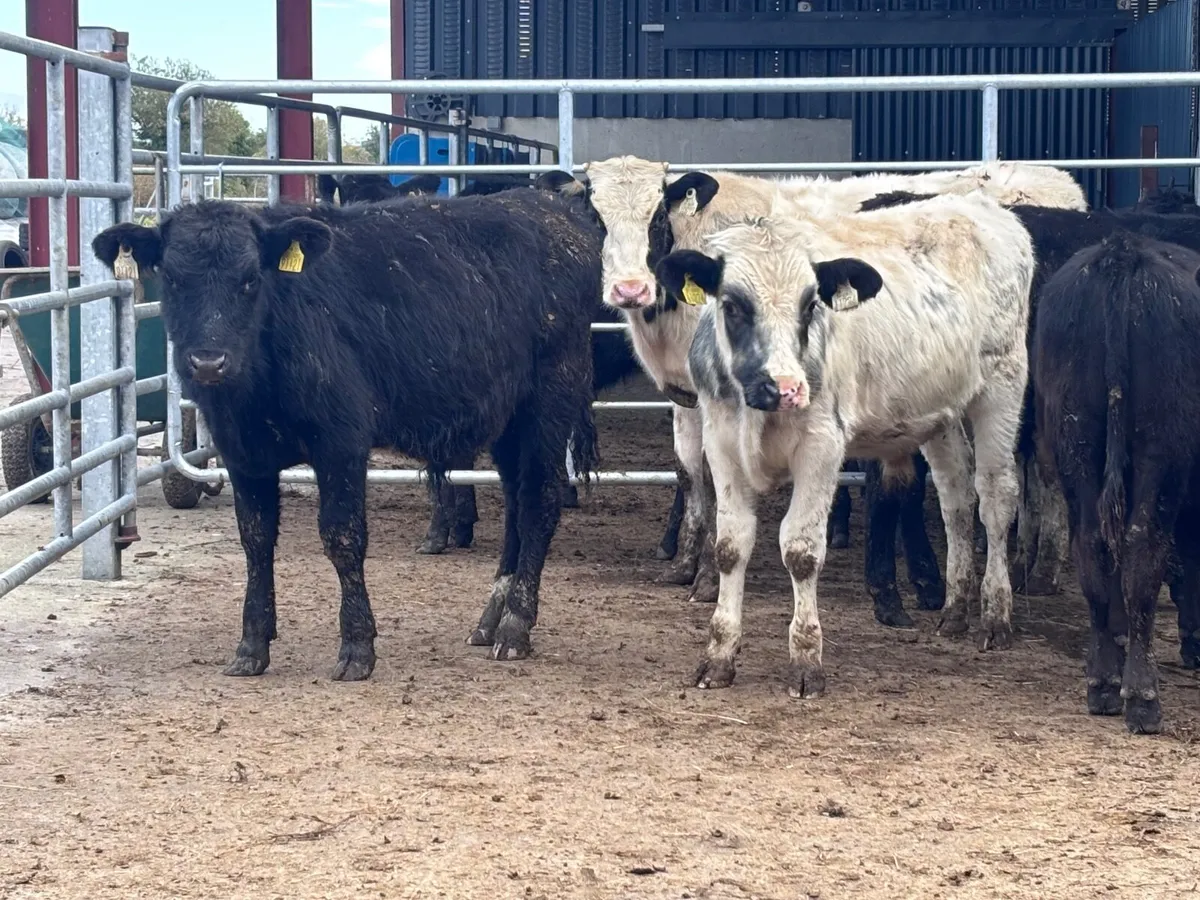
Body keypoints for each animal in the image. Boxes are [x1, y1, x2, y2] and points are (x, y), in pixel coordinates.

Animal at [91, 190, 602, 677]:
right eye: (174, 279)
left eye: (250, 278)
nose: (208, 362)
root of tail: (553, 210)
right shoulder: (242, 453)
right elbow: (255, 540)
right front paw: (252, 645)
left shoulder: (341, 441)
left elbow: (342, 537)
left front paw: (357, 646)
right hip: (508, 418)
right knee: (517, 500)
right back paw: (491, 618)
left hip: (550, 401)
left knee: (540, 500)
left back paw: (515, 626)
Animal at [652, 190, 1034, 696]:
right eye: (732, 305)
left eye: (811, 304)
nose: (786, 387)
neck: (760, 412)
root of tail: (980, 205)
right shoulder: (721, 441)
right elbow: (732, 547)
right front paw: (719, 655)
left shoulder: (822, 447)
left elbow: (801, 550)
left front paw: (806, 662)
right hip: (940, 412)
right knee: (956, 498)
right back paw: (954, 610)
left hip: (1002, 386)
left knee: (994, 498)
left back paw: (995, 615)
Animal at [1034, 231, 1200, 734]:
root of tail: (1122, 252)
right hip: (1161, 453)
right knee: (1144, 552)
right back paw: (1142, 697)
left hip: (1077, 444)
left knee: (1094, 547)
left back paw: (1105, 680)